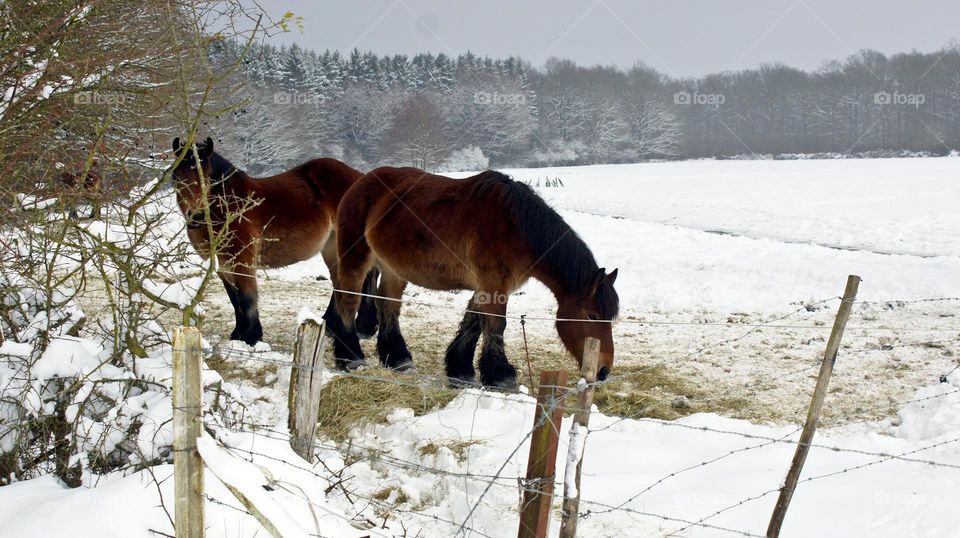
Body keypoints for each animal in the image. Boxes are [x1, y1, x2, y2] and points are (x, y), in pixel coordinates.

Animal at [170, 137, 379, 348]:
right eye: (176, 176)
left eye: (207, 177)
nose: (196, 215)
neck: (230, 207)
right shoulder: (224, 263)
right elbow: (234, 298)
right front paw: (238, 334)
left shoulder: (243, 260)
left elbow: (246, 297)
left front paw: (251, 337)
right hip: (331, 246)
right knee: (341, 281)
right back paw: (330, 324)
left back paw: (362, 327)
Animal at [332, 167, 619, 389]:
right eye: (592, 315)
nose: (604, 370)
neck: (517, 229)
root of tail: (361, 182)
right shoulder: (495, 284)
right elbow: (495, 326)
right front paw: (500, 376)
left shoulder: (487, 286)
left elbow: (473, 323)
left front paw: (461, 371)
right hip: (355, 258)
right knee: (348, 300)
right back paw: (350, 357)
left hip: (393, 268)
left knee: (388, 305)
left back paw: (397, 358)